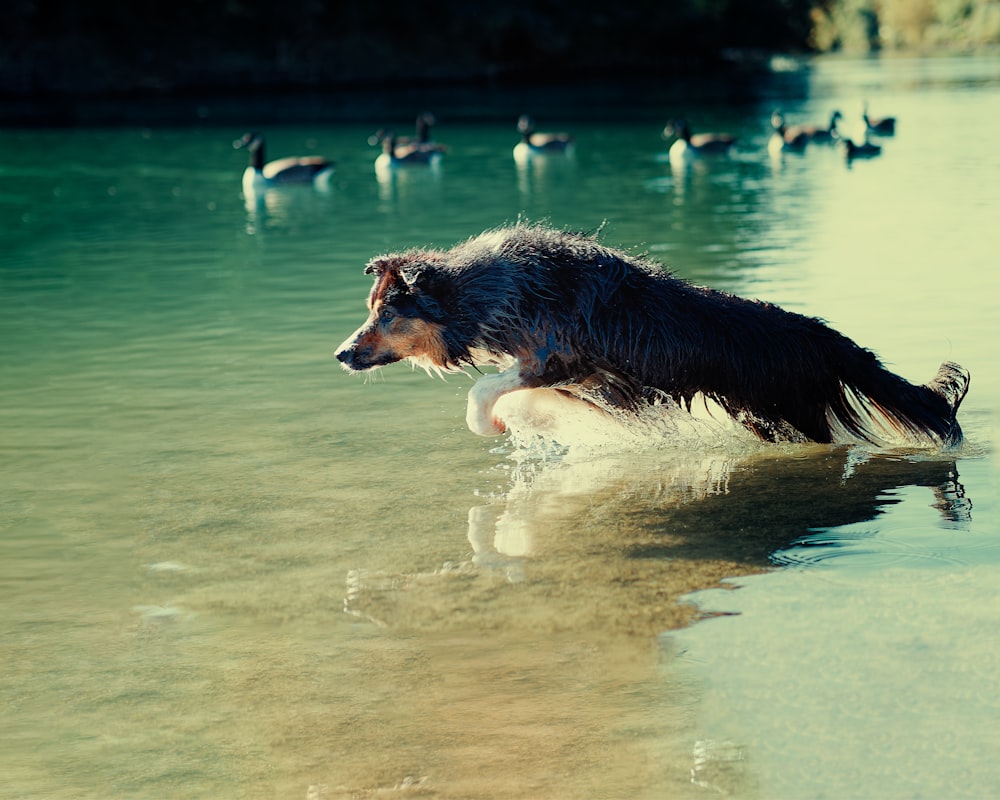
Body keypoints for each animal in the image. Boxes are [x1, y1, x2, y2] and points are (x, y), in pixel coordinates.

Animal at [336, 225, 968, 446]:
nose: (341, 354)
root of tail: (820, 335)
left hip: (789, 413)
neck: (484, 291)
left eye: (386, 314)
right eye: (370, 310)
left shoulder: (557, 356)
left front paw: (488, 418)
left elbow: (485, 388)